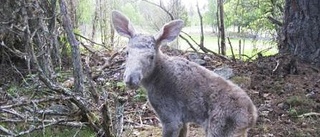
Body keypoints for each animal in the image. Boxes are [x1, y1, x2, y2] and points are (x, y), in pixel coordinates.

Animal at [112, 10, 258, 136]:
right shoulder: (183, 120)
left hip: (219, 129)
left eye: (151, 56)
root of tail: (252, 117)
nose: (131, 78)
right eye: (127, 52)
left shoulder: (170, 116)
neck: (154, 79)